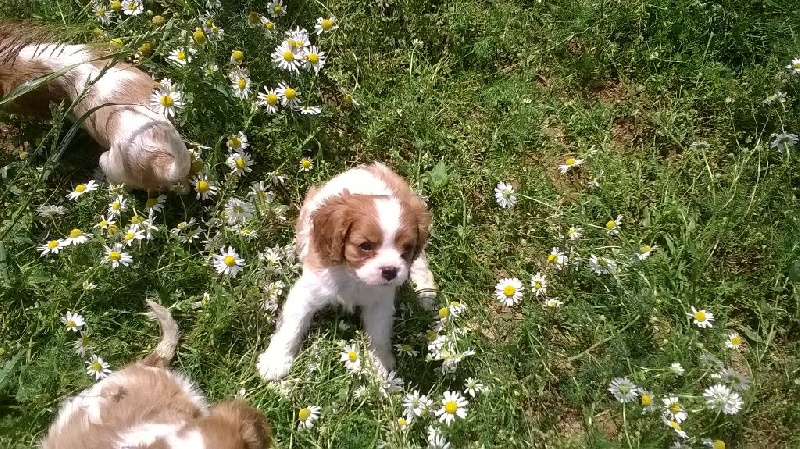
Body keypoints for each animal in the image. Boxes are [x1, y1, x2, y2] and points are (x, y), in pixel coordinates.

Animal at [256, 163, 438, 380]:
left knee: (421, 262)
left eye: (406, 248)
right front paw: (275, 361)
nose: (390, 271)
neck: (354, 276)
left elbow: (379, 335)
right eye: (365, 246)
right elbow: (291, 326)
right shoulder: (307, 292)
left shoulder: (380, 304)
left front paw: (379, 367)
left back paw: (426, 294)